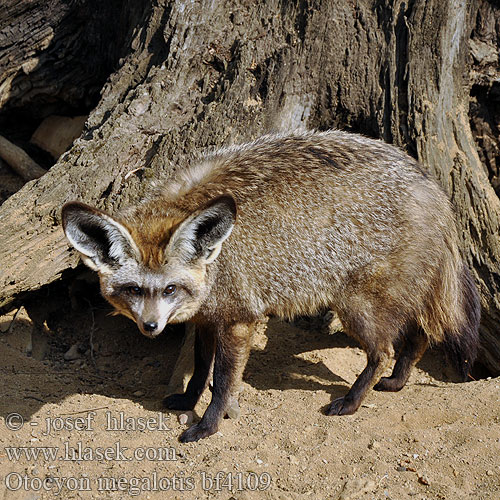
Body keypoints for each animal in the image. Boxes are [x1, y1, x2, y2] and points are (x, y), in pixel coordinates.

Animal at [61, 128, 480, 442]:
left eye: (169, 289)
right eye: (133, 290)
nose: (150, 327)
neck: (216, 259)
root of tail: (433, 187)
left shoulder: (240, 321)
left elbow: (222, 382)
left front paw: (208, 425)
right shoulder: (207, 318)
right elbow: (200, 369)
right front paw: (188, 400)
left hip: (356, 306)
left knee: (385, 350)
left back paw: (352, 401)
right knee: (420, 335)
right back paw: (398, 381)